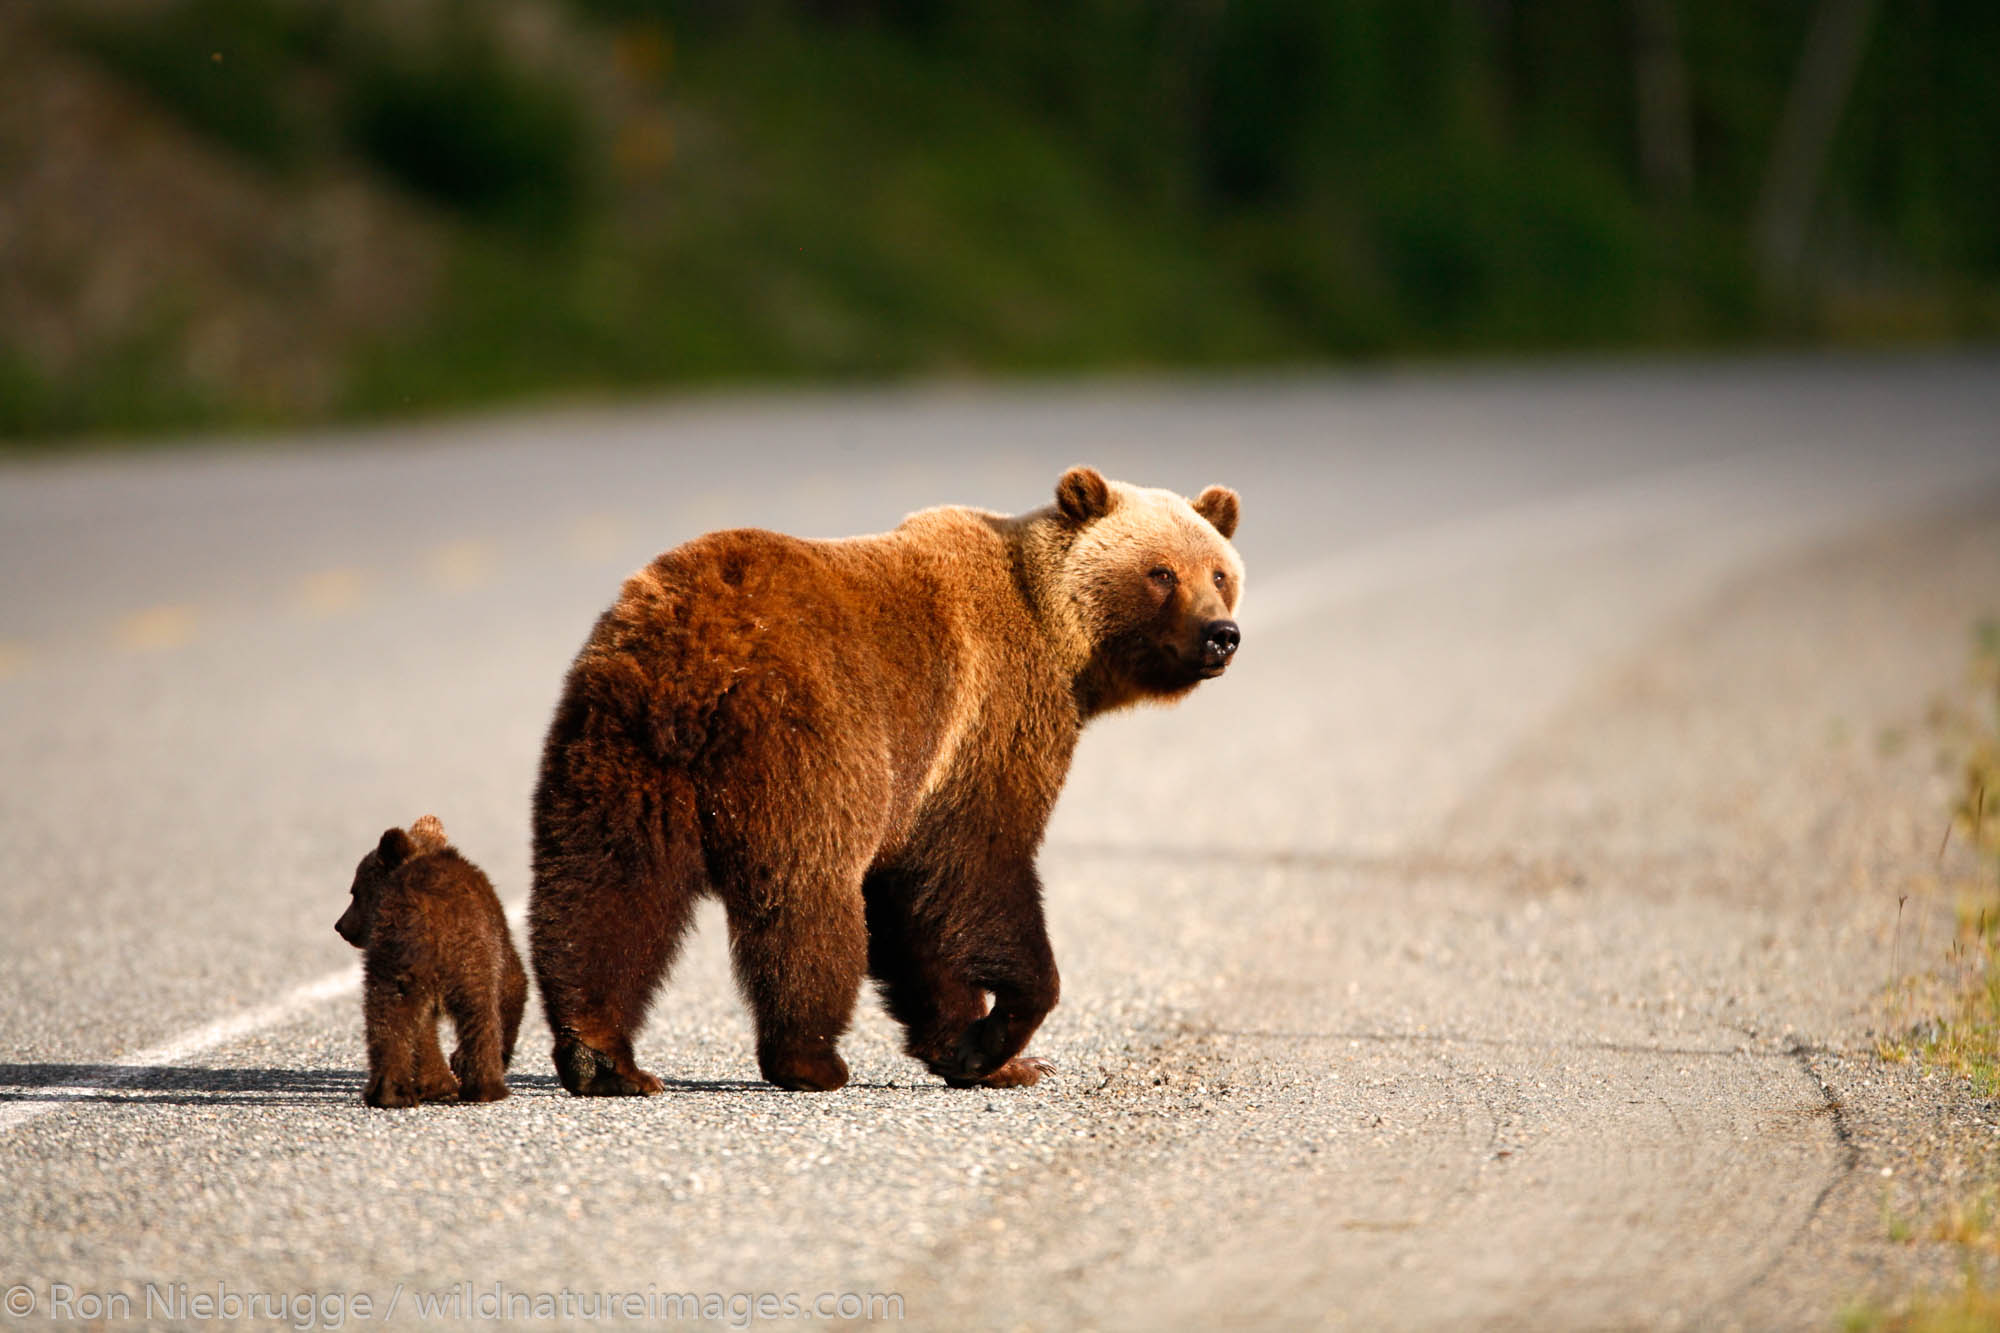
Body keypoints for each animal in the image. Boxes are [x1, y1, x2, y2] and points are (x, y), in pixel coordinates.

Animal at [524, 466, 1240, 1088]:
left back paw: (601, 1055)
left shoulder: (924, 779)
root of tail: (698, 653)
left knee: (605, 885)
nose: (1221, 633)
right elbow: (979, 864)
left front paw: (970, 1049)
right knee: (808, 893)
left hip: (616, 746)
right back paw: (808, 1057)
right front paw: (1002, 1037)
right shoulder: (989, 719)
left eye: (1220, 572)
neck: (1065, 650)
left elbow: (910, 908)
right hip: (810, 736)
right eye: (1161, 572)